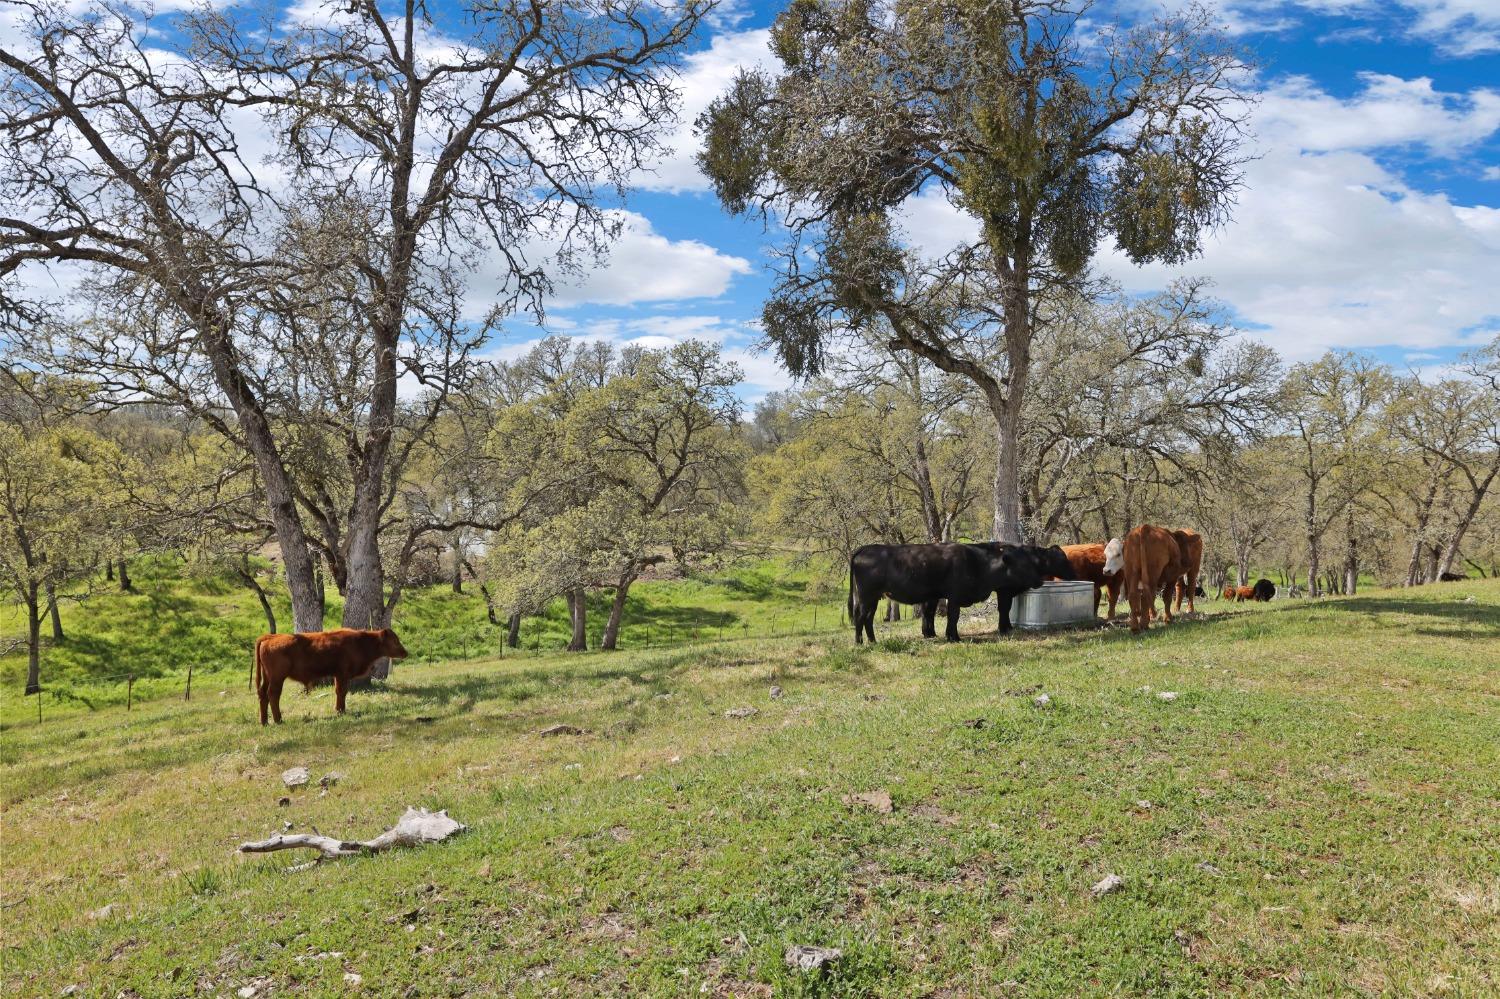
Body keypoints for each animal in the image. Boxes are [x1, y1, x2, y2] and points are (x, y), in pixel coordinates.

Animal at [255, 627, 411, 720]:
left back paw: (264, 722)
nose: (405, 653)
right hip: (277, 678)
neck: (361, 642)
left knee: (263, 694)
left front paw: (339, 710)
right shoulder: (342, 674)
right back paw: (278, 720)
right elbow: (342, 691)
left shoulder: (338, 675)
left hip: (268, 677)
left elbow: (339, 692)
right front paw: (341, 711)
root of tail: (270, 637)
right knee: (273, 694)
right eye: (395, 641)